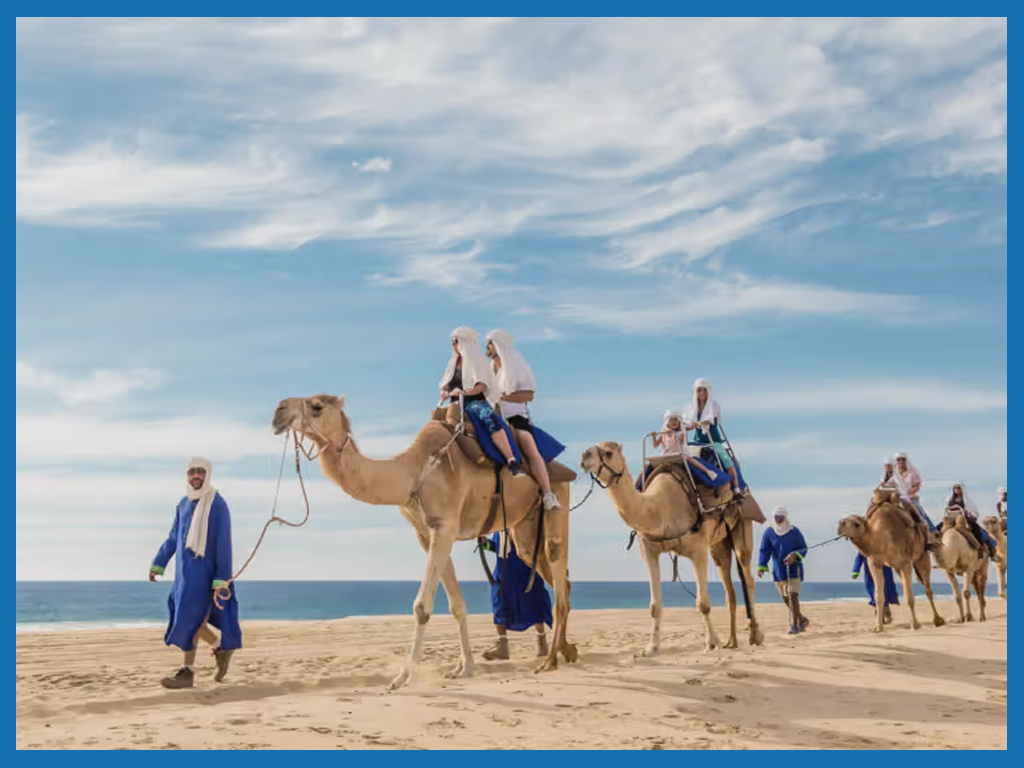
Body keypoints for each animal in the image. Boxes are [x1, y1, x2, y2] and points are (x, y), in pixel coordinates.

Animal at [272, 394, 577, 690]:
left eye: (317, 406)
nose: (278, 412)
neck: (416, 471)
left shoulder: (444, 527)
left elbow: (421, 607)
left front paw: (402, 677)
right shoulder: (426, 533)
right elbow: (456, 605)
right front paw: (465, 668)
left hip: (556, 504)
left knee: (558, 579)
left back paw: (550, 660)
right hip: (525, 531)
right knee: (561, 581)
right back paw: (567, 651)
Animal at [580, 442, 764, 655]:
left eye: (608, 453)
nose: (584, 456)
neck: (661, 508)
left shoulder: (698, 551)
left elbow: (703, 603)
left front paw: (712, 643)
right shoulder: (649, 551)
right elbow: (655, 606)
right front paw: (651, 648)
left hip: (743, 520)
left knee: (747, 575)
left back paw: (756, 636)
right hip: (719, 543)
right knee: (728, 586)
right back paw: (731, 641)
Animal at [838, 489, 946, 633]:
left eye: (856, 523)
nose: (840, 524)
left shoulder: (906, 562)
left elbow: (909, 597)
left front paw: (914, 626)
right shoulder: (875, 562)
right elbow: (879, 596)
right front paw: (878, 627)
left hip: (922, 556)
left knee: (927, 588)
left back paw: (938, 620)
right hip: (897, 566)